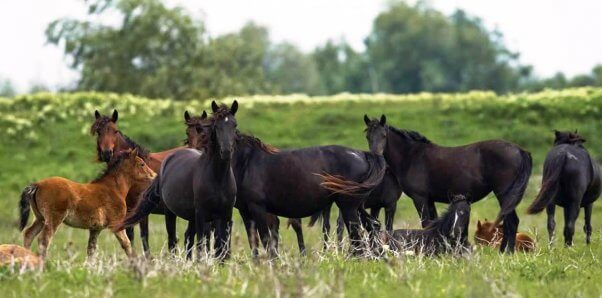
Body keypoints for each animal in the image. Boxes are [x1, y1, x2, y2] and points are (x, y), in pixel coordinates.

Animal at [116, 101, 238, 260]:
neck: (218, 178)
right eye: (216, 126)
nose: (226, 151)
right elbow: (201, 244)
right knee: (172, 241)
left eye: (234, 125)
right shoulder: (202, 214)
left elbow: (221, 246)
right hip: (170, 213)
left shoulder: (225, 214)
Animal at [360, 115, 528, 253]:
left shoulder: (420, 198)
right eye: (367, 136)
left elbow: (426, 223)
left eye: (383, 135)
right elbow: (431, 223)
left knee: (511, 222)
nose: (376, 155)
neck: (411, 157)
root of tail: (520, 150)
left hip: (504, 194)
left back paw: (506, 252)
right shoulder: (429, 200)